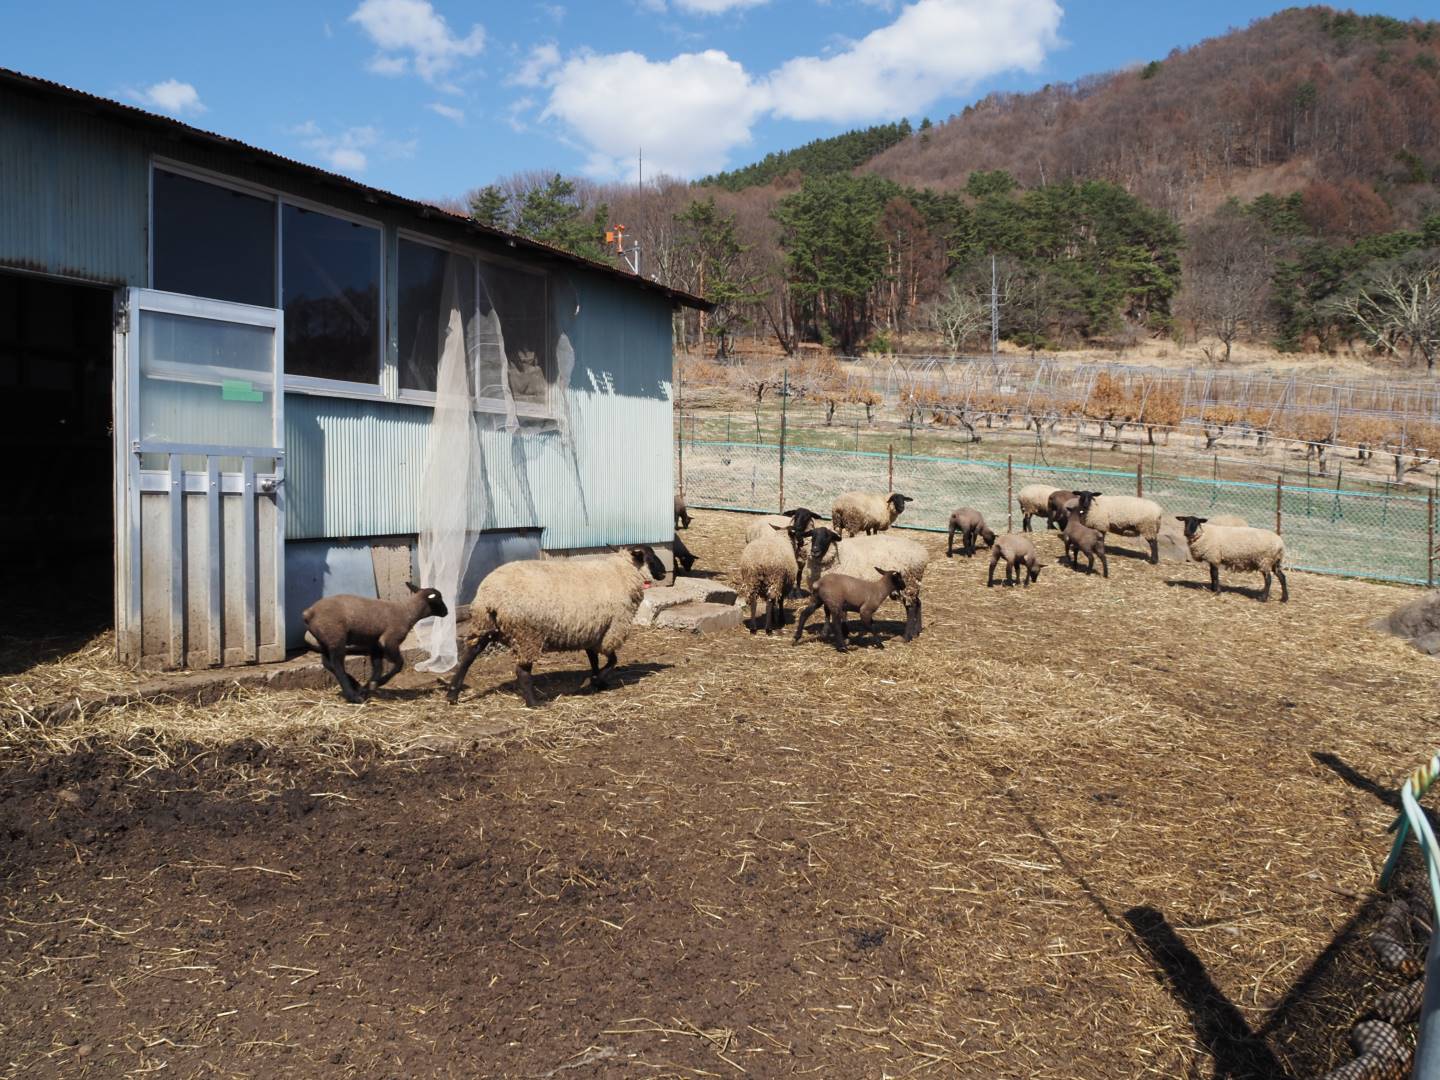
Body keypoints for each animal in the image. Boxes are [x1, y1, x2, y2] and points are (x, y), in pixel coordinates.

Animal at [306, 587, 452, 705]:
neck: (407, 612)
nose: (447, 612)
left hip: (324, 641)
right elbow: (399, 664)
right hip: (336, 638)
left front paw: (368, 686)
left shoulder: (375, 646)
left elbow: (378, 667)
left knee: (327, 663)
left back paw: (355, 685)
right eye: (439, 599)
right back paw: (353, 696)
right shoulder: (389, 640)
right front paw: (376, 683)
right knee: (337, 665)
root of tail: (309, 613)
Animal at [446, 550, 665, 711]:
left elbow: (594, 660)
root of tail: (490, 596)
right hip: (527, 634)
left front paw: (598, 682)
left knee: (468, 657)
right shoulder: (611, 630)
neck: (622, 572)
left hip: (485, 626)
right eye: (651, 556)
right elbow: (612, 660)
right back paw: (534, 703)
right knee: (522, 671)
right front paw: (595, 680)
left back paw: (452, 694)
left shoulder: (592, 631)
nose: (664, 572)